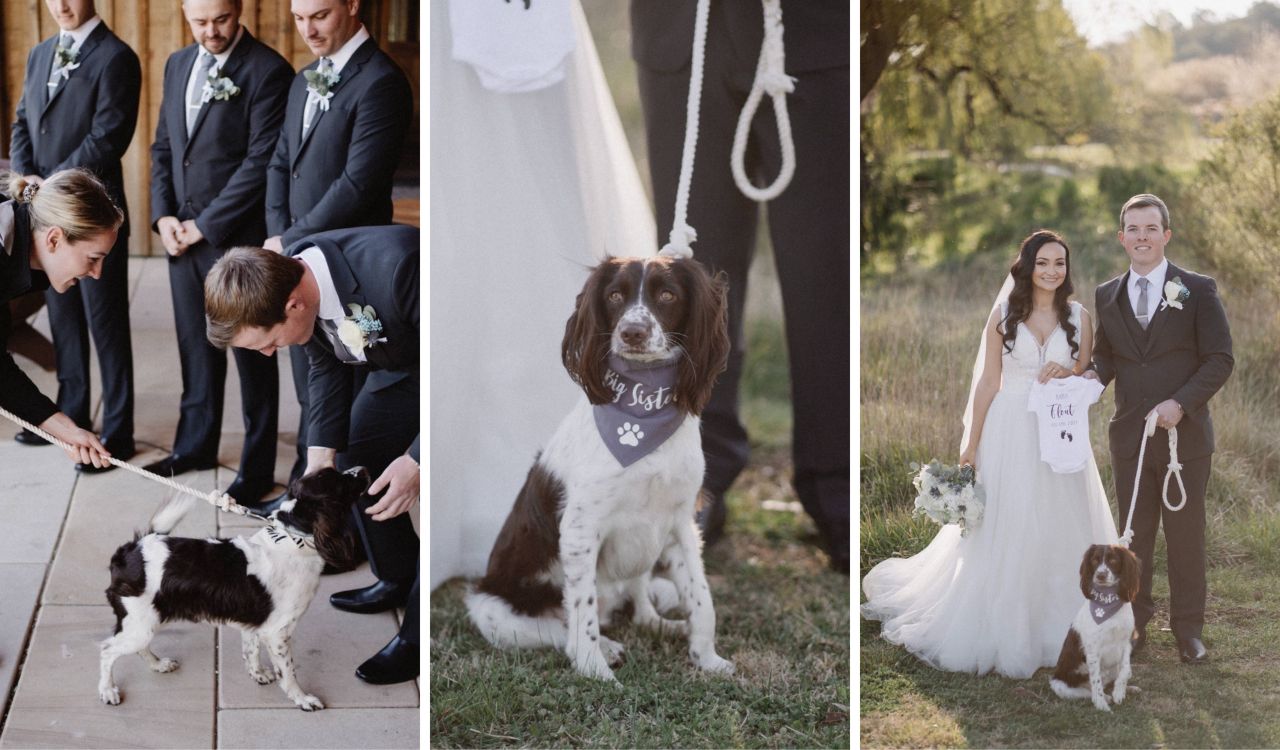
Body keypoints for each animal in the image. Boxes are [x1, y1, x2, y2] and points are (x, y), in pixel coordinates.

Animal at [96, 465, 360, 706]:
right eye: (341, 482)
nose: (363, 469)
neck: (293, 541)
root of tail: (132, 549)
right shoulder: (278, 632)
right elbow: (288, 672)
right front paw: (302, 699)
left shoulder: (255, 623)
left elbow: (251, 651)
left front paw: (258, 674)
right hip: (140, 625)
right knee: (107, 650)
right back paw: (108, 690)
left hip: (147, 621)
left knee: (137, 648)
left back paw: (158, 664)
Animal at [468, 253, 732, 680]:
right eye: (614, 296)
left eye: (667, 294)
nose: (632, 332)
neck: (642, 406)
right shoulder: (580, 529)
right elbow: (582, 611)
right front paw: (593, 668)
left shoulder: (681, 522)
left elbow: (701, 597)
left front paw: (707, 658)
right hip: (492, 611)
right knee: (559, 629)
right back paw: (605, 648)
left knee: (639, 606)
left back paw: (661, 624)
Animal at [1049, 540, 1141, 711]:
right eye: (1094, 560)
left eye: (1113, 560)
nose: (1100, 575)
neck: (1107, 602)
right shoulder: (1093, 650)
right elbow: (1096, 680)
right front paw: (1101, 704)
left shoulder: (1126, 641)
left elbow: (1126, 669)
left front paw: (1120, 691)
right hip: (1061, 686)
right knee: (1088, 691)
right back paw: (1105, 698)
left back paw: (1127, 689)